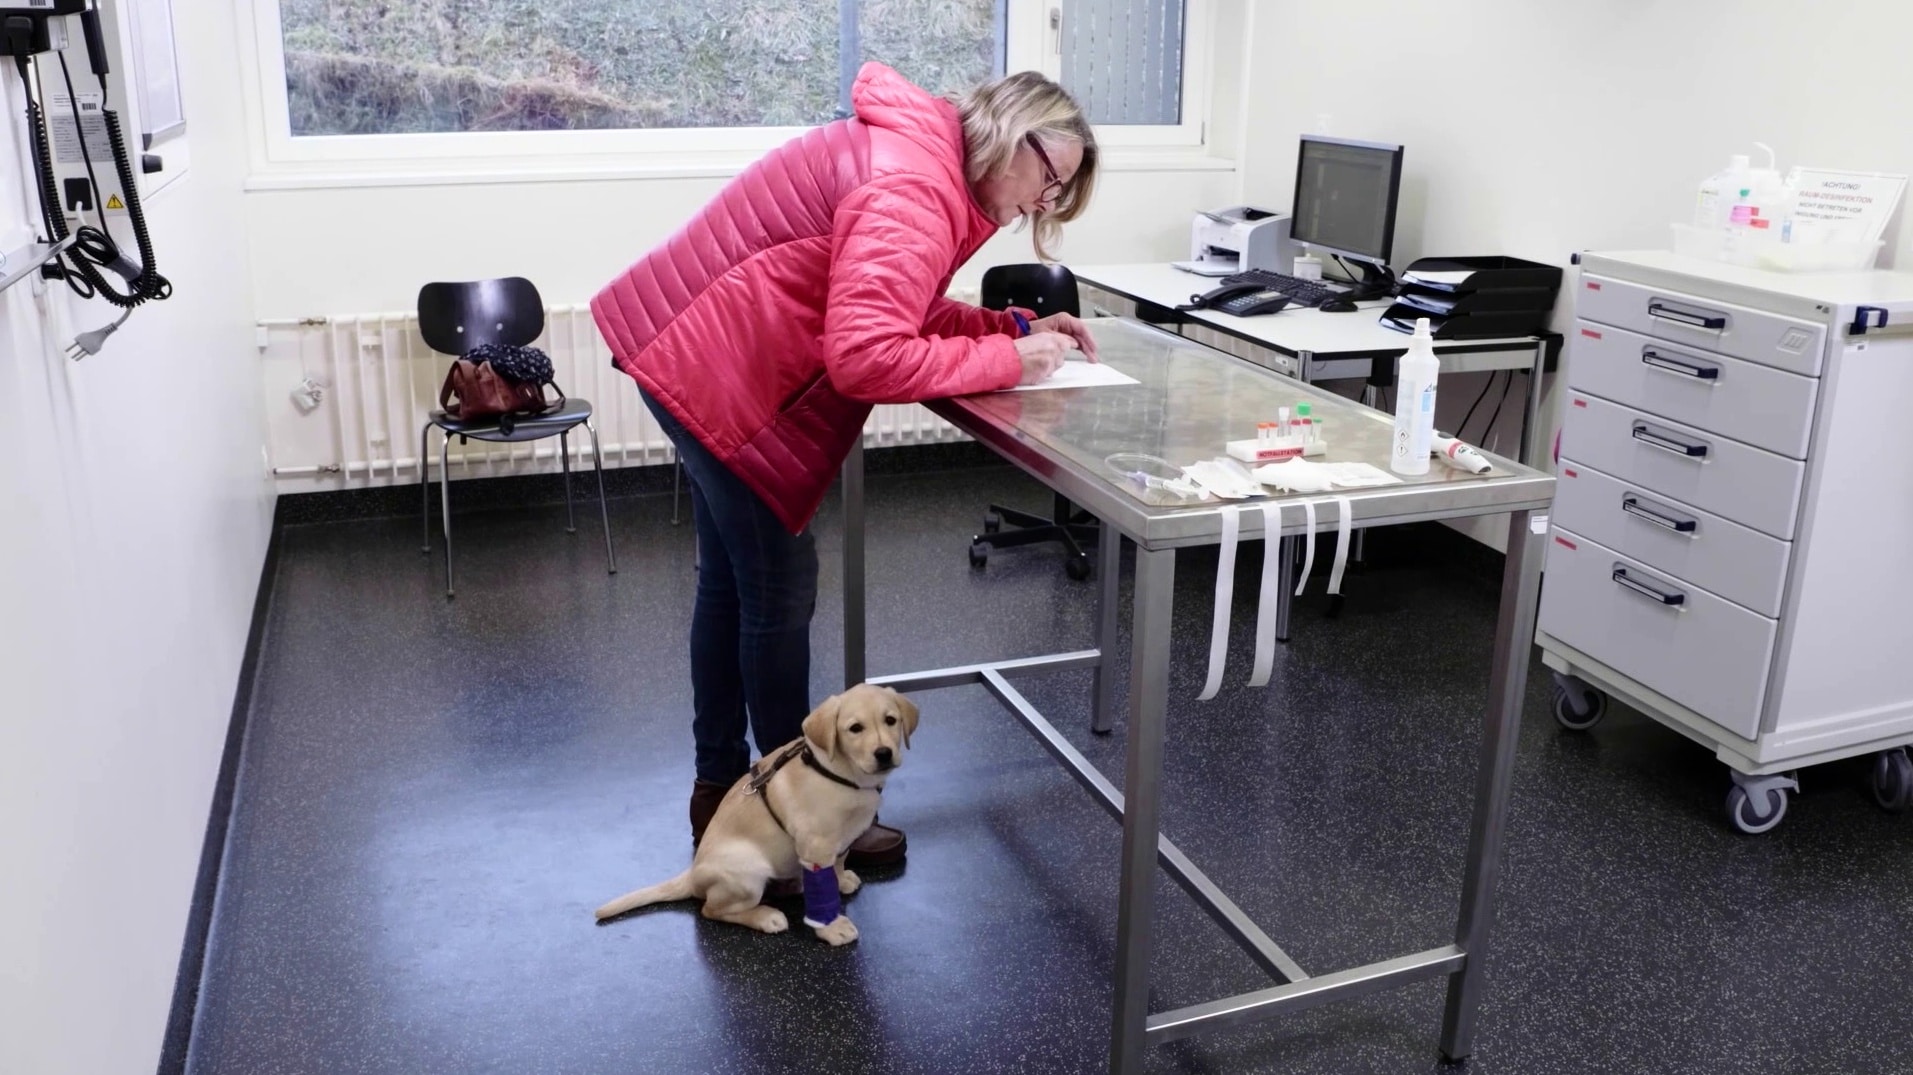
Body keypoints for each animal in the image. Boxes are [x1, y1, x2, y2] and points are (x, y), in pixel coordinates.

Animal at [596, 680, 925, 941]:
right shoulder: (815, 848)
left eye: (891, 720)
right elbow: (823, 887)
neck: (842, 772)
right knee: (711, 908)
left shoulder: (841, 841)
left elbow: (839, 862)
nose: (883, 753)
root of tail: (692, 875)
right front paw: (831, 928)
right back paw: (766, 916)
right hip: (748, 874)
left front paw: (841, 879)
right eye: (855, 729)